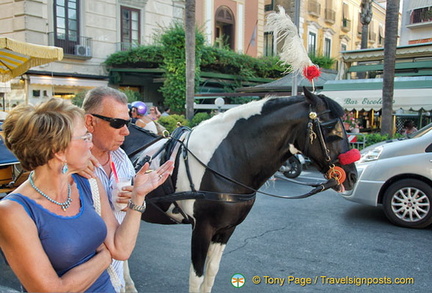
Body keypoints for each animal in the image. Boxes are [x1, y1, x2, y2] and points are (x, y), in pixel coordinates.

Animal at [120, 88, 358, 290]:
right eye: (331, 130)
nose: (353, 176)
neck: (223, 159)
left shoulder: (226, 229)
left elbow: (211, 273)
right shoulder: (202, 228)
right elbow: (196, 277)